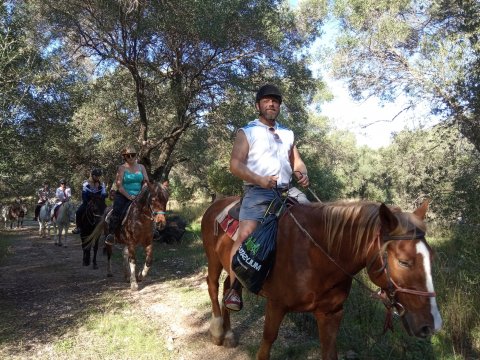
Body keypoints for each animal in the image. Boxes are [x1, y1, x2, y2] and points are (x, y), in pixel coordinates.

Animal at [200, 197, 442, 360]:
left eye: (432, 257)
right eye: (404, 262)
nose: (432, 325)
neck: (315, 255)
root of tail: (216, 204)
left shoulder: (331, 314)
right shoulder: (276, 305)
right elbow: (266, 345)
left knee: (227, 288)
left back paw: (229, 333)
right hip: (213, 260)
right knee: (212, 286)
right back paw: (217, 330)